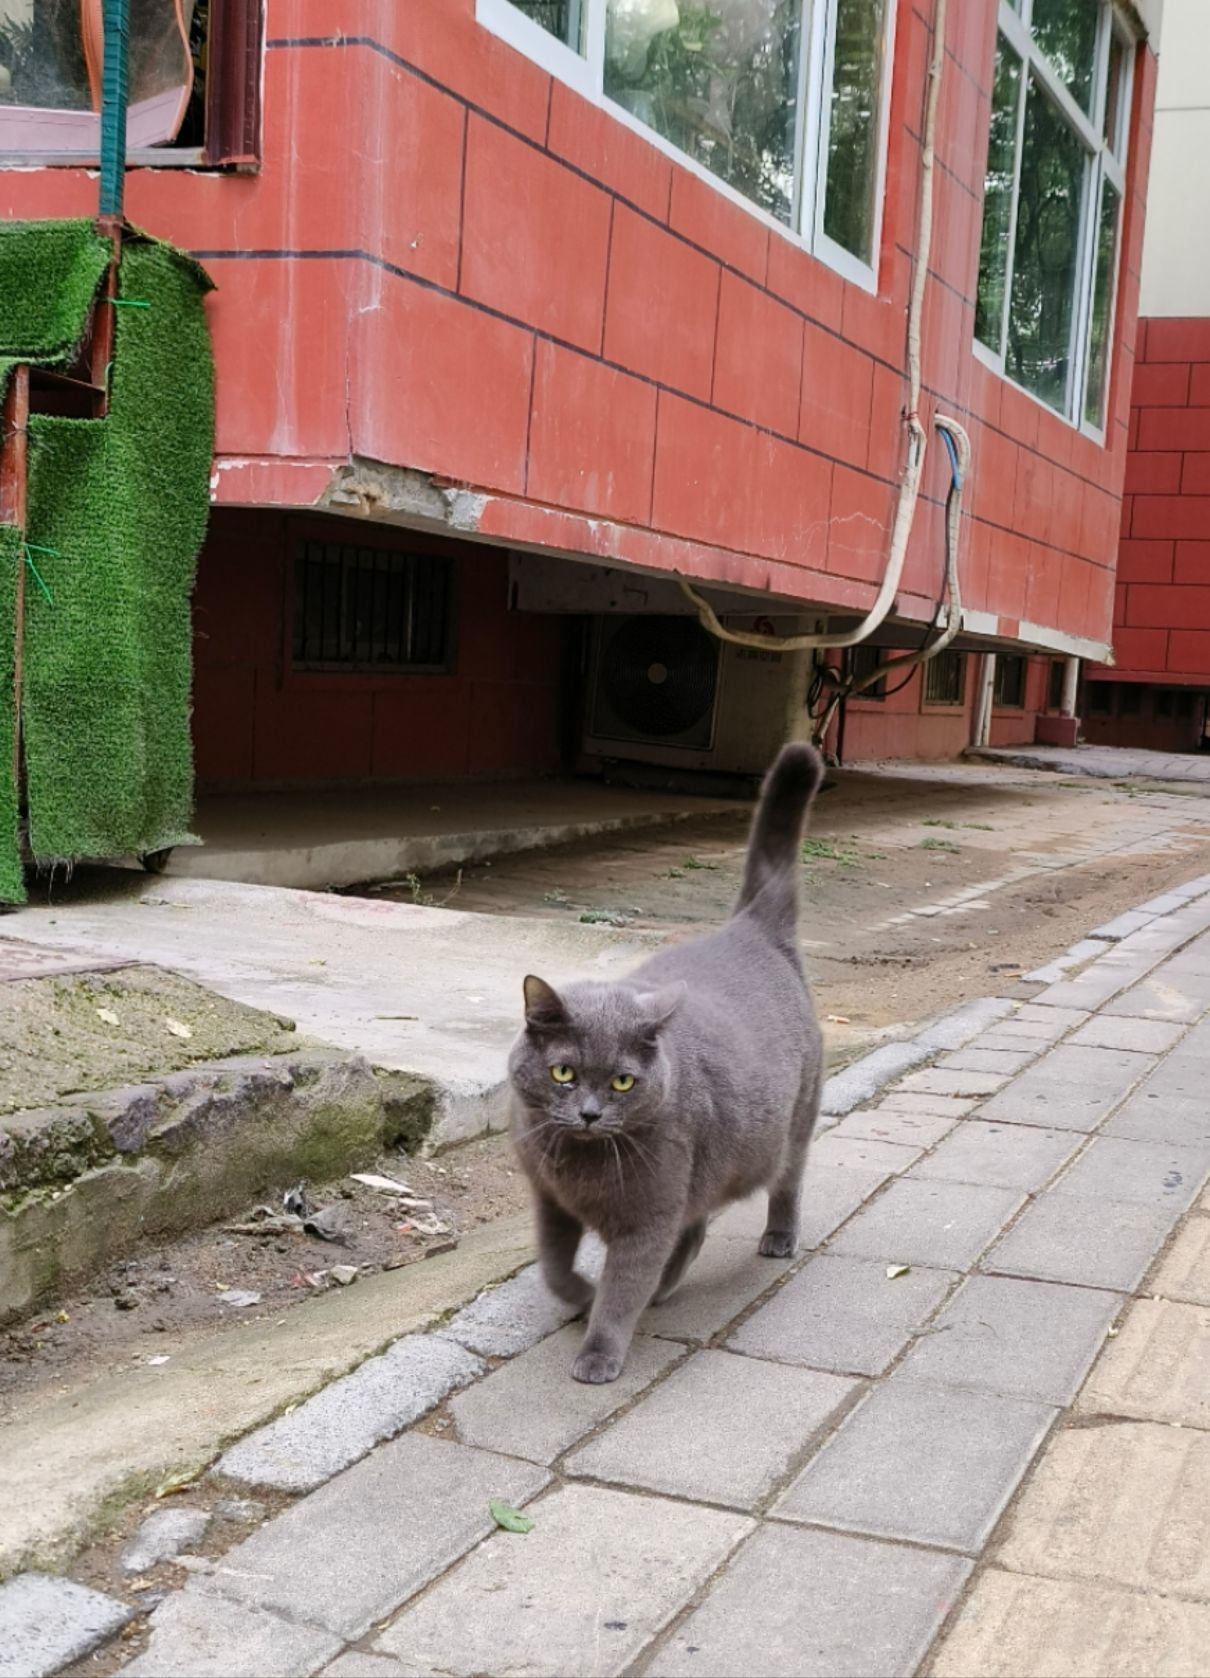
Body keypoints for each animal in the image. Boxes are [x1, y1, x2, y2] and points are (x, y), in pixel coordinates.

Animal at [503, 741, 825, 1382]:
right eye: (564, 1073)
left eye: (624, 1081)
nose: (590, 1114)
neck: (579, 1167)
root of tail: (749, 927)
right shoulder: (549, 1201)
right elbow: (552, 1266)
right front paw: (577, 1294)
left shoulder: (646, 1219)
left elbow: (622, 1289)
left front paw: (598, 1352)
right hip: (710, 1161)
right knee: (695, 1226)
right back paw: (668, 1288)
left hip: (791, 1123)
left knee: (785, 1181)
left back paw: (777, 1238)